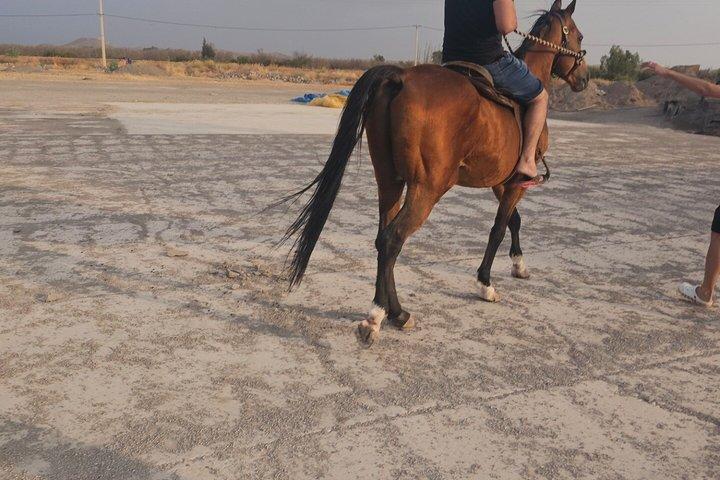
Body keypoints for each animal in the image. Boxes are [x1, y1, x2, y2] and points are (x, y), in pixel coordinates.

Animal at [280, 0, 589, 346]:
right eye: (577, 34)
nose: (585, 78)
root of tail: (400, 77)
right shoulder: (515, 184)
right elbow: (498, 228)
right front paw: (486, 283)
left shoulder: (501, 182)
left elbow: (514, 221)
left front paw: (519, 265)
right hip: (427, 189)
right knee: (393, 239)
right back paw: (375, 317)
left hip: (389, 181)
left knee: (383, 238)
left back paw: (397, 312)